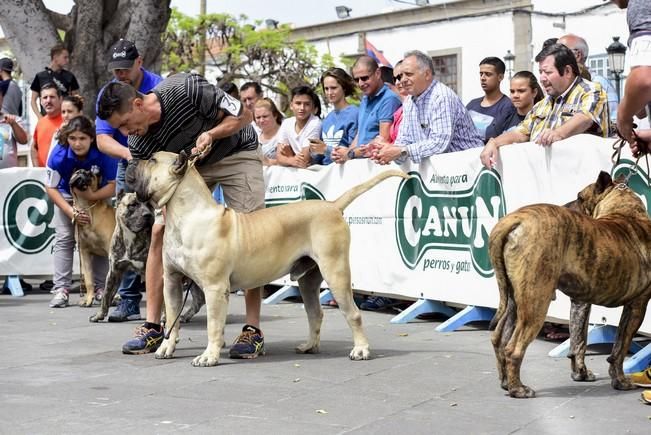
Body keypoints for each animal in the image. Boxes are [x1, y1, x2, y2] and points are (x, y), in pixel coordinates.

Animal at [127, 152, 408, 366]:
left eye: (152, 159)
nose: (130, 160)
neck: (186, 216)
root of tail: (333, 205)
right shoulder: (172, 282)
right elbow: (173, 319)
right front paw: (166, 348)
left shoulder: (215, 288)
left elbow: (213, 325)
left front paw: (209, 356)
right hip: (309, 280)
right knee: (315, 313)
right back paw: (309, 346)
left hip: (335, 272)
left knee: (354, 314)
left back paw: (361, 350)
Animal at [492, 170, 651, 398]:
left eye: (579, 198)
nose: (566, 205)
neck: (626, 214)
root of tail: (516, 218)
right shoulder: (637, 306)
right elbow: (620, 349)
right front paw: (620, 381)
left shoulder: (581, 302)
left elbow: (580, 340)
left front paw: (581, 373)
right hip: (535, 304)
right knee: (513, 348)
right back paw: (518, 388)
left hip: (513, 301)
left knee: (500, 339)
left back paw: (506, 382)